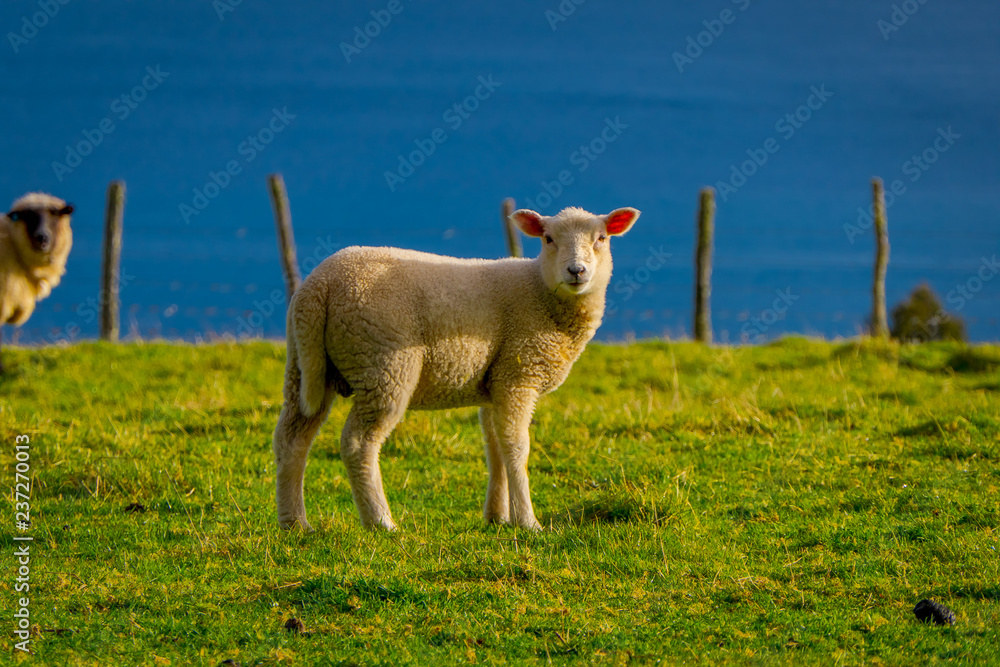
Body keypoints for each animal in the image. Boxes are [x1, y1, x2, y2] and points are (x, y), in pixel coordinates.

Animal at [272, 205, 639, 531]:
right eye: (548, 239)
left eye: (602, 238)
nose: (576, 271)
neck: (539, 291)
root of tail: (320, 285)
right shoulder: (518, 375)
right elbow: (516, 448)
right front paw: (527, 521)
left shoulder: (495, 382)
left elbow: (495, 447)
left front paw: (497, 517)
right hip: (384, 364)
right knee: (358, 443)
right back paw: (381, 521)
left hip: (307, 366)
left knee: (291, 439)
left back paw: (295, 523)